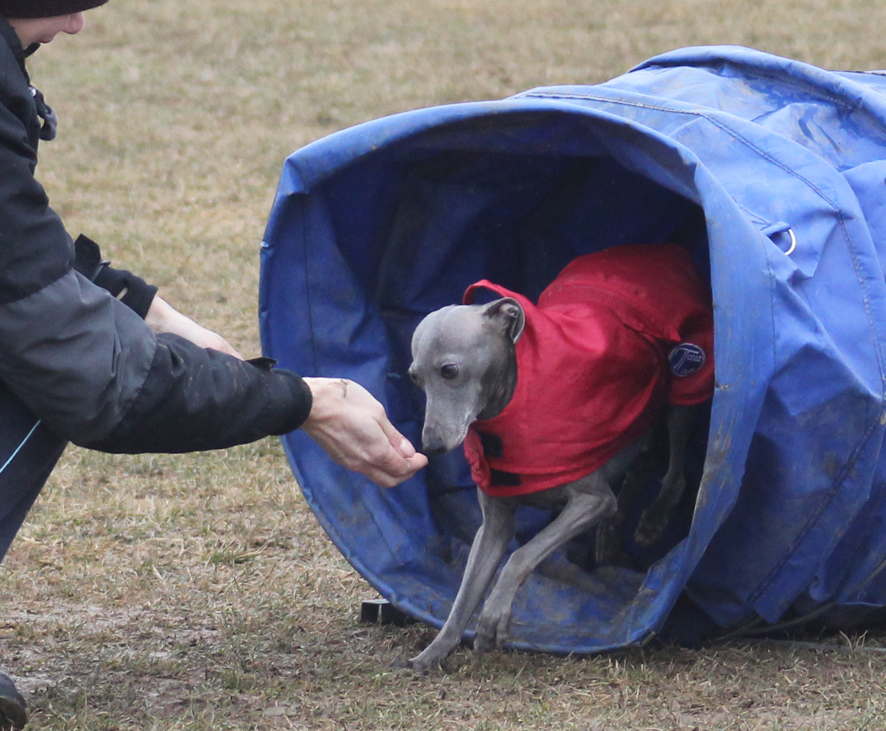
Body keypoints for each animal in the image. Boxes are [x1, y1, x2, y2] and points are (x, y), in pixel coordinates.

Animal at [406, 243, 720, 672]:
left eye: (449, 370)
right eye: (414, 378)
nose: (431, 446)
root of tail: (657, 248)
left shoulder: (592, 500)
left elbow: (522, 554)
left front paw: (493, 617)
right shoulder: (494, 526)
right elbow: (464, 594)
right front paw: (434, 652)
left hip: (686, 381)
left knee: (676, 468)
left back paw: (653, 518)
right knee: (641, 463)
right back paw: (612, 535)